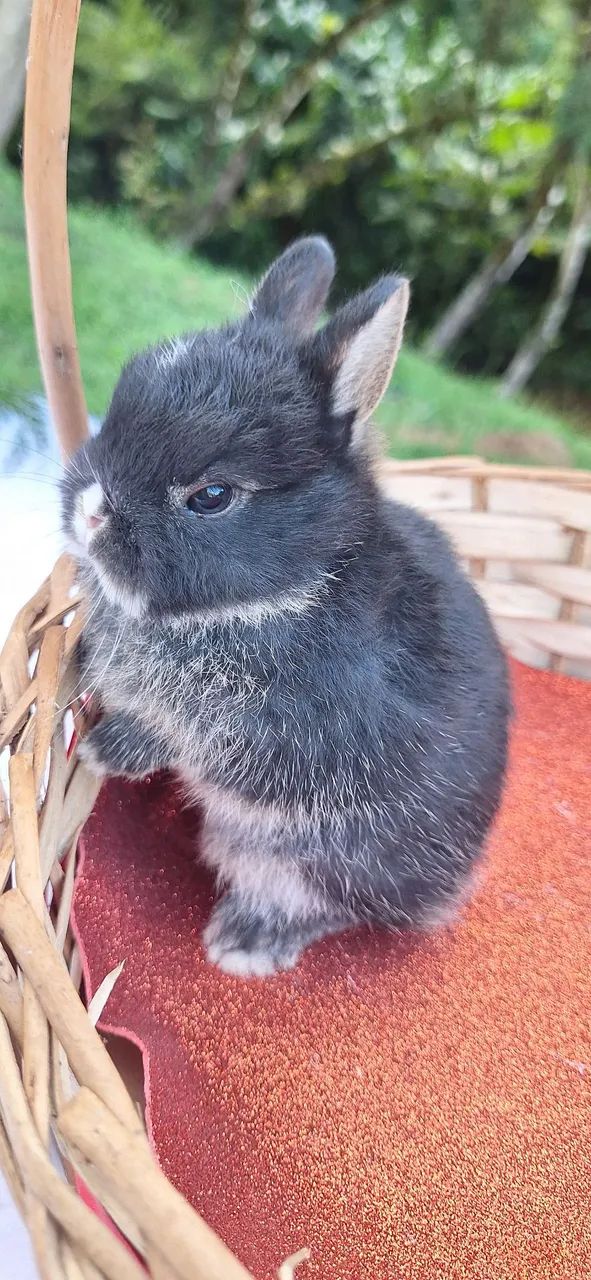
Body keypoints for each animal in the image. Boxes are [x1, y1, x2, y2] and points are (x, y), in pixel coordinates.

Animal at [62, 236, 510, 977]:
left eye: (212, 497)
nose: (91, 512)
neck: (285, 593)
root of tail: (444, 890)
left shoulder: (276, 742)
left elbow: (182, 739)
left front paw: (107, 750)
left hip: (314, 858)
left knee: (323, 906)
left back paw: (242, 945)